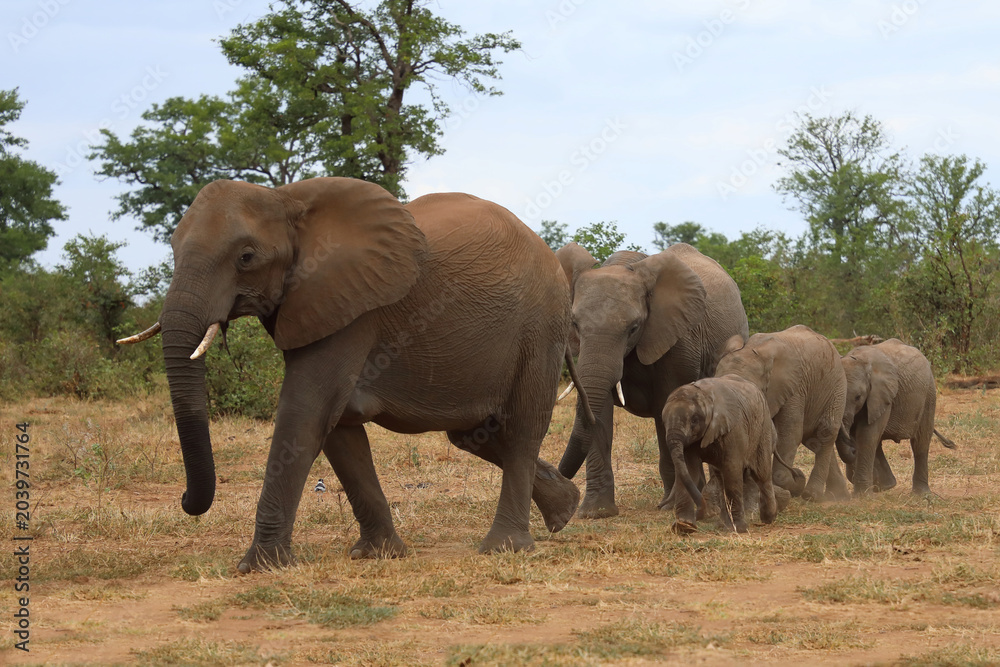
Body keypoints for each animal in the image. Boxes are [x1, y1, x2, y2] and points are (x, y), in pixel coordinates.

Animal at [118, 177, 584, 572]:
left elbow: (306, 412)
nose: (185, 499)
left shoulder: (353, 309)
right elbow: (339, 428)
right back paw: (565, 511)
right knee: (475, 435)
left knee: (521, 429)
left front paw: (259, 567)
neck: (287, 199)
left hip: (540, 326)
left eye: (246, 258)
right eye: (173, 249)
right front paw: (379, 555)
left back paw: (505, 547)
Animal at [554, 242, 749, 518]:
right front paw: (595, 513)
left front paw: (674, 506)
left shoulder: (679, 338)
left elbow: (668, 404)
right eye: (574, 324)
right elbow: (598, 412)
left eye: (634, 328)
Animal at [662, 374, 801, 534]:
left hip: (763, 431)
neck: (705, 397)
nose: (701, 514)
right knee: (721, 478)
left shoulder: (734, 428)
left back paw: (768, 519)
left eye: (694, 420)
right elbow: (688, 470)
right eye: (663, 422)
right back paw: (723, 525)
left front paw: (738, 529)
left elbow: (732, 469)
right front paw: (683, 527)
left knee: (761, 475)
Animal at [715, 324, 850, 501]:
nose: (798, 473)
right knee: (813, 439)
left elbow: (790, 433)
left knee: (825, 432)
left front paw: (793, 485)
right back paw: (838, 496)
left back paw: (812, 495)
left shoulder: (794, 387)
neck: (753, 351)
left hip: (836, 386)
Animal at [836, 339, 956, 496]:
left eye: (858, 397)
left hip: (929, 394)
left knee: (920, 442)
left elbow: (867, 436)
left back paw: (921, 494)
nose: (853, 450)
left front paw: (863, 496)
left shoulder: (883, 396)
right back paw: (885, 486)